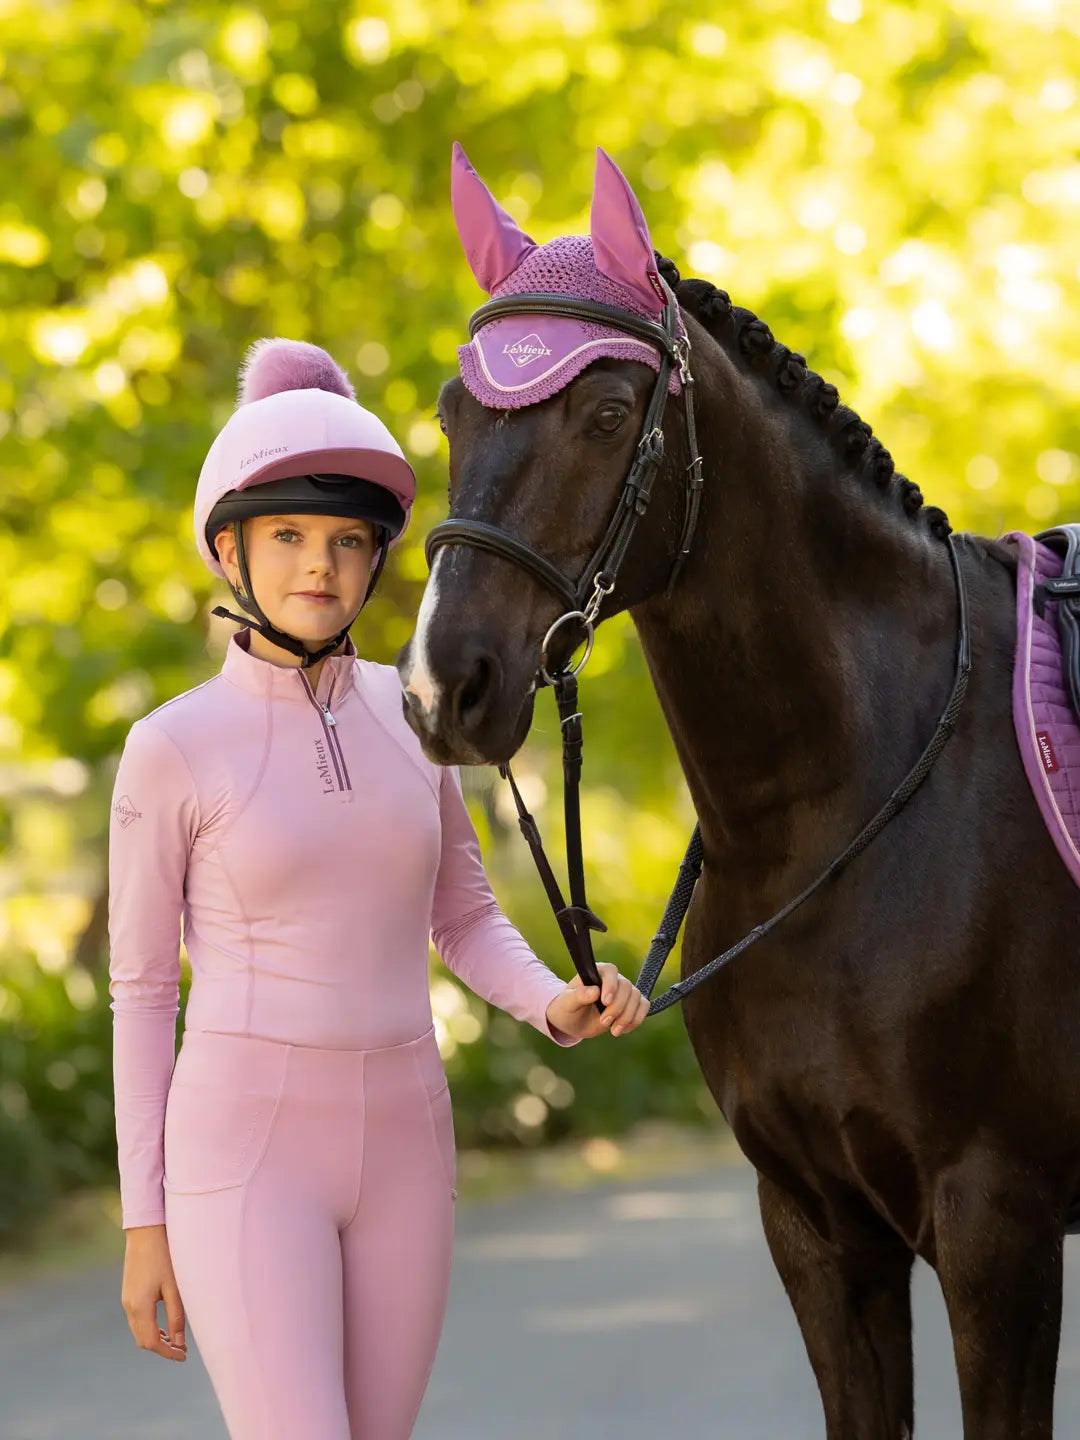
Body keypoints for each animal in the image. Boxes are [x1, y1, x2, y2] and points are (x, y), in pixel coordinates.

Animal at [396, 146, 1080, 1438]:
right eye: (455, 411)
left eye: (609, 414)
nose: (442, 686)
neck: (828, 821)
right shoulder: (816, 1226)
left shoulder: (997, 1228)